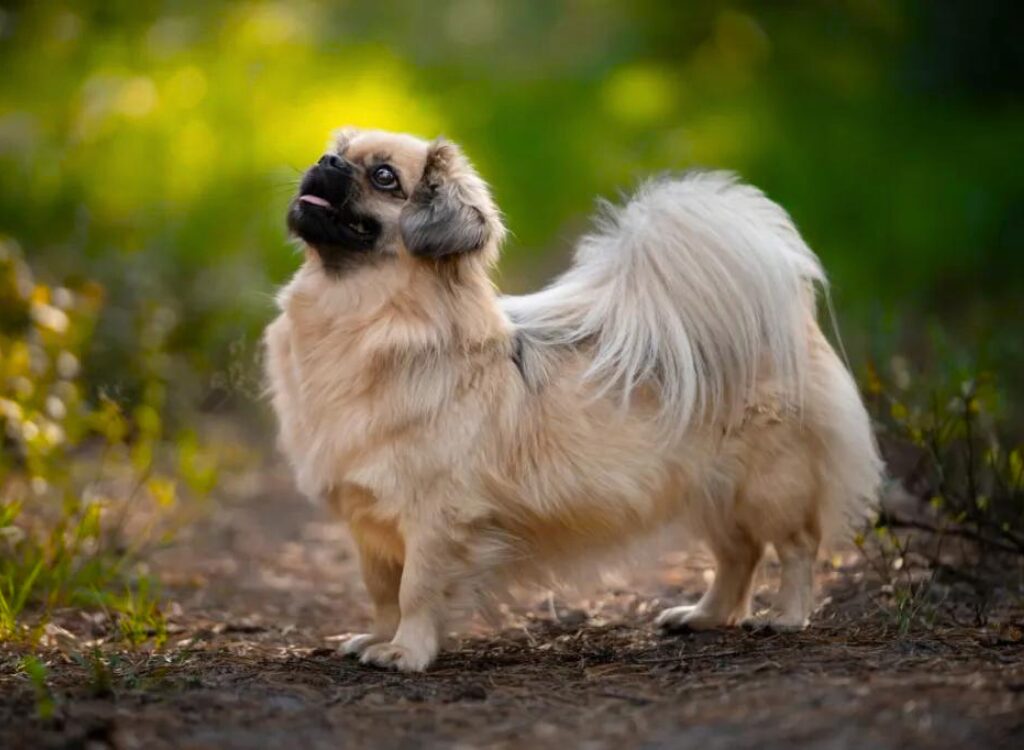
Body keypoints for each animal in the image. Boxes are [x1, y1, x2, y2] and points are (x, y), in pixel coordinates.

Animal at [262, 129, 880, 672]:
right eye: (337, 153)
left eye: (385, 177)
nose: (327, 162)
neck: (361, 320)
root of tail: (787, 326)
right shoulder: (370, 524)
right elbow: (382, 593)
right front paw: (378, 639)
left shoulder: (435, 520)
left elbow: (415, 591)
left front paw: (405, 653)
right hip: (710, 491)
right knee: (738, 557)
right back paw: (702, 616)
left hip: (769, 488)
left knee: (795, 547)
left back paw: (785, 617)